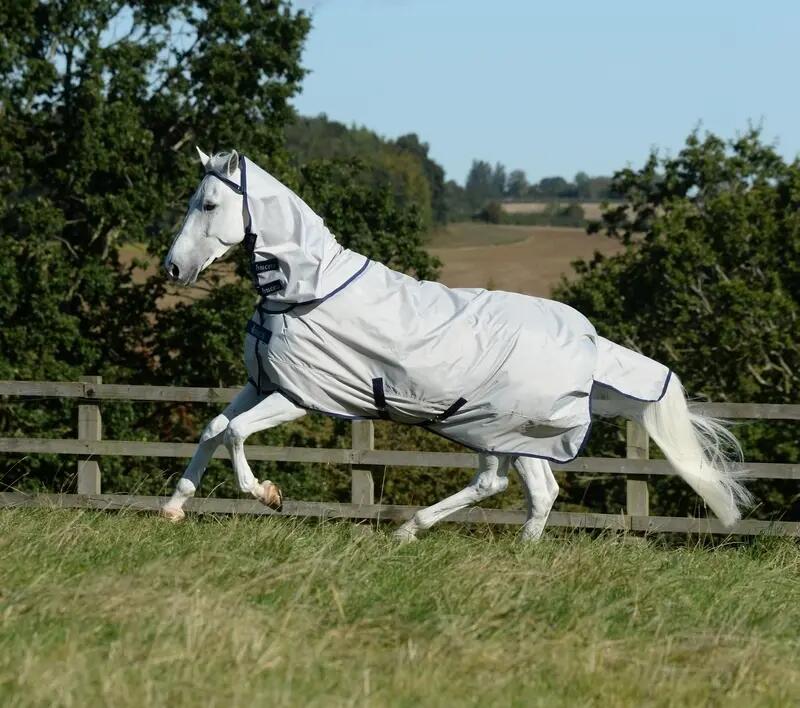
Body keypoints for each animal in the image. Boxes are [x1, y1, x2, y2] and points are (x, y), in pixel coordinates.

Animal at [160, 148, 750, 541]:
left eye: (209, 204)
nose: (173, 268)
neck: (304, 292)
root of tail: (588, 340)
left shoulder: (299, 397)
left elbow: (236, 433)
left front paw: (268, 494)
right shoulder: (262, 383)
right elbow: (213, 428)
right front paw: (173, 508)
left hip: (500, 428)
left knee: (499, 485)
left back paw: (412, 531)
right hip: (514, 435)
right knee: (536, 492)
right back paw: (500, 550)